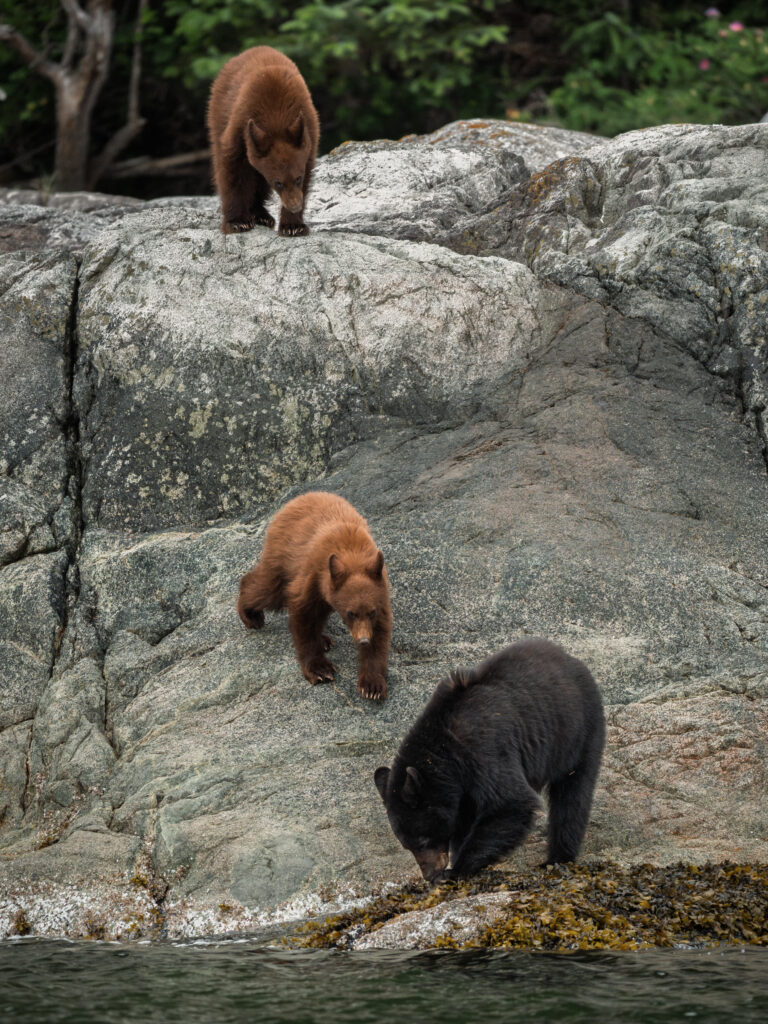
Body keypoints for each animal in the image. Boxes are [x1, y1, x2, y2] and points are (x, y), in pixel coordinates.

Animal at [207, 46, 320, 236]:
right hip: (219, 112)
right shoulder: (240, 126)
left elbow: (307, 172)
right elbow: (232, 170)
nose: (295, 206)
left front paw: (293, 225)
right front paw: (237, 222)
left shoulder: (309, 131)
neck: (276, 117)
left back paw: (261, 215)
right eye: (278, 183)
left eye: (298, 178)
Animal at [238, 491, 392, 700]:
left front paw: (372, 685)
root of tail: (295, 500)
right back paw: (251, 615)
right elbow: (304, 616)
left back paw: (324, 640)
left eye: (371, 612)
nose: (363, 640)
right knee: (268, 590)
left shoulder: (380, 588)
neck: (352, 552)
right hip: (283, 556)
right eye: (350, 613)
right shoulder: (314, 574)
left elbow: (380, 633)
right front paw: (320, 670)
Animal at [374, 638, 605, 881]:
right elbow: (465, 817)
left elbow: (512, 803)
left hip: (579, 731)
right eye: (406, 844)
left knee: (573, 795)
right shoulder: (461, 786)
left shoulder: (484, 750)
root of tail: (573, 660)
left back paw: (558, 857)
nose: (429, 874)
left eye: (423, 839)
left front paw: (457, 868)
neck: (446, 747)